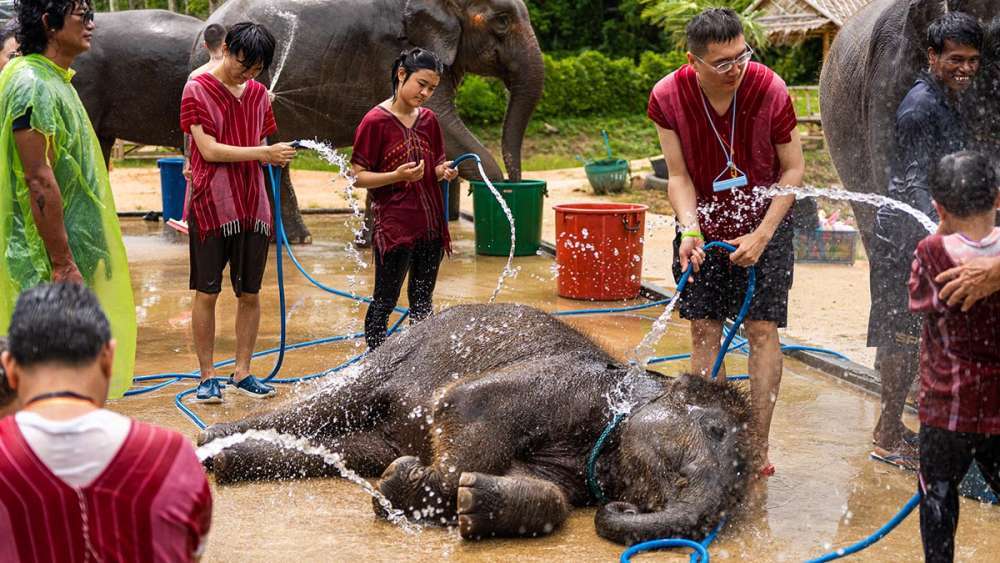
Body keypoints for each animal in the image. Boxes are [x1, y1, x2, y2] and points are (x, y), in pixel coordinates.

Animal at [199, 304, 752, 548]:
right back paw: (210, 443)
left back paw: (227, 461)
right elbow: (466, 405)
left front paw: (469, 503)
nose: (624, 506)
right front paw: (403, 485)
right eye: (715, 430)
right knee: (332, 405)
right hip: (395, 359)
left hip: (374, 428)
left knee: (350, 448)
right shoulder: (557, 384)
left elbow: (550, 496)